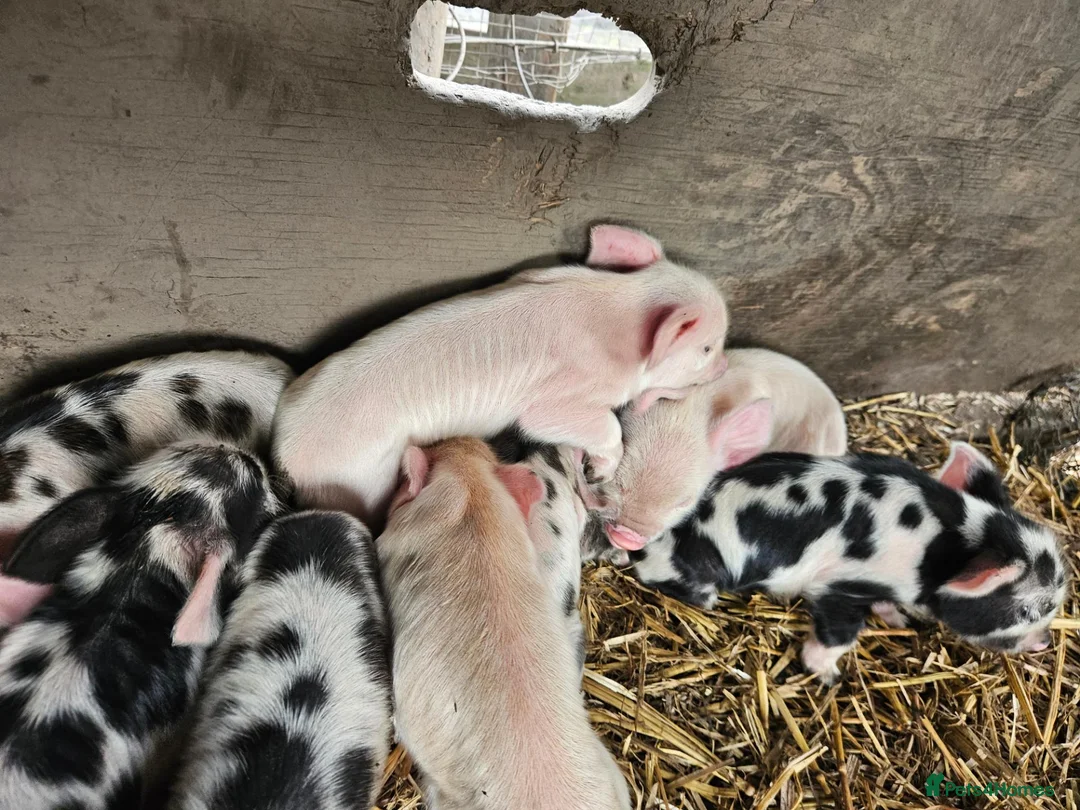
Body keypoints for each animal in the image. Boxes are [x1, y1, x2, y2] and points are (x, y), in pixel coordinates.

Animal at [273, 224, 729, 526]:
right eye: (706, 348)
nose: (723, 366)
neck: (623, 311)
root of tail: (286, 450)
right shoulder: (563, 397)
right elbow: (588, 424)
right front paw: (600, 470)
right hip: (360, 478)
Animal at [630, 442, 1068, 682]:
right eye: (1029, 609)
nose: (1044, 642)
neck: (940, 550)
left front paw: (898, 620)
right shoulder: (841, 584)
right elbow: (840, 633)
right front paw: (827, 675)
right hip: (698, 559)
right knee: (653, 570)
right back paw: (701, 597)